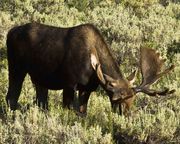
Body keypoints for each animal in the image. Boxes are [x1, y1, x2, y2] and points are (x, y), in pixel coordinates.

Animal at [6, 22, 175, 115]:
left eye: (133, 100)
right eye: (119, 101)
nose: (127, 117)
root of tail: (9, 32)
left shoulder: (87, 88)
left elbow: (83, 112)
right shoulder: (69, 83)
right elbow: (68, 110)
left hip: (40, 78)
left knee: (41, 101)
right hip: (16, 68)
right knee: (11, 96)